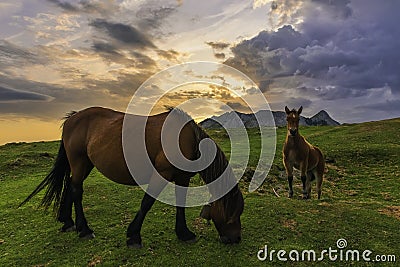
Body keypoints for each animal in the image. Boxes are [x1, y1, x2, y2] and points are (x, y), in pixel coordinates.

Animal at [18, 106, 244, 247]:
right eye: (232, 213)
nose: (235, 239)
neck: (186, 139)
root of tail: (72, 118)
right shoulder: (161, 174)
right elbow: (147, 202)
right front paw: (134, 235)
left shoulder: (182, 178)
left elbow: (180, 203)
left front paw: (184, 233)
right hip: (79, 162)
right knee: (76, 191)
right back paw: (84, 229)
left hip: (85, 164)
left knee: (71, 188)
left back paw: (68, 222)